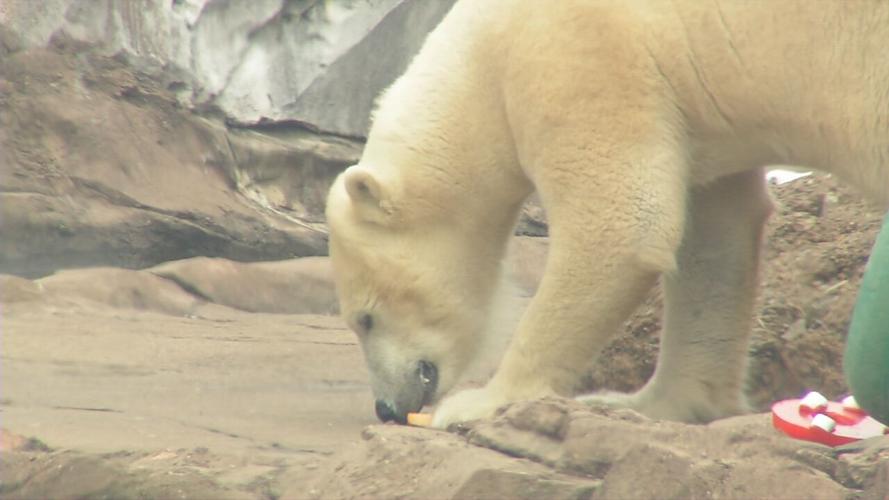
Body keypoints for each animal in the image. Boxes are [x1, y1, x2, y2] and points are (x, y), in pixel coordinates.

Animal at [325, 0, 889, 428]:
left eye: (365, 318)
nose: (386, 407)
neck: (479, 56)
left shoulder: (579, 58)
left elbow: (622, 223)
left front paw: (479, 402)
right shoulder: (690, 111)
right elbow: (715, 235)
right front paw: (649, 403)